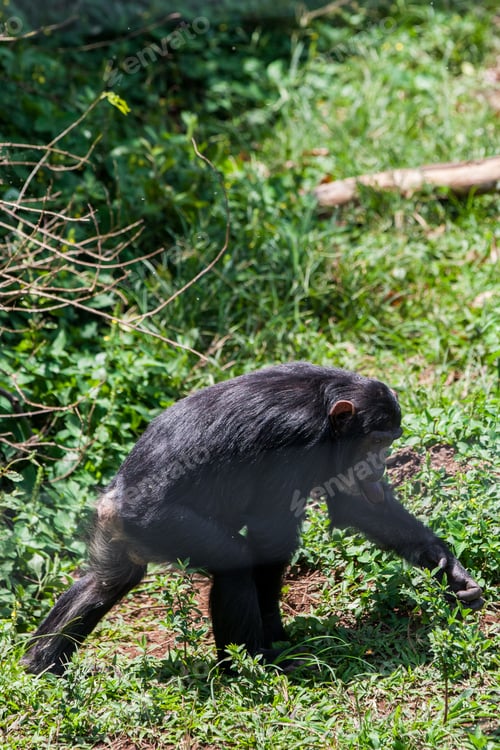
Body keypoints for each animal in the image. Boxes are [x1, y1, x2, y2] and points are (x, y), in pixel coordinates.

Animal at [21, 362, 484, 675]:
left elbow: (357, 504)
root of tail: (115, 501)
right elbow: (272, 536)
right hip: (163, 524)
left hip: (119, 533)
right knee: (236, 565)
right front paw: (277, 636)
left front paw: (449, 569)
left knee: (103, 583)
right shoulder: (296, 444)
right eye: (375, 441)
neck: (324, 409)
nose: (380, 463)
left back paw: (40, 663)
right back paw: (252, 664)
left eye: (389, 442)